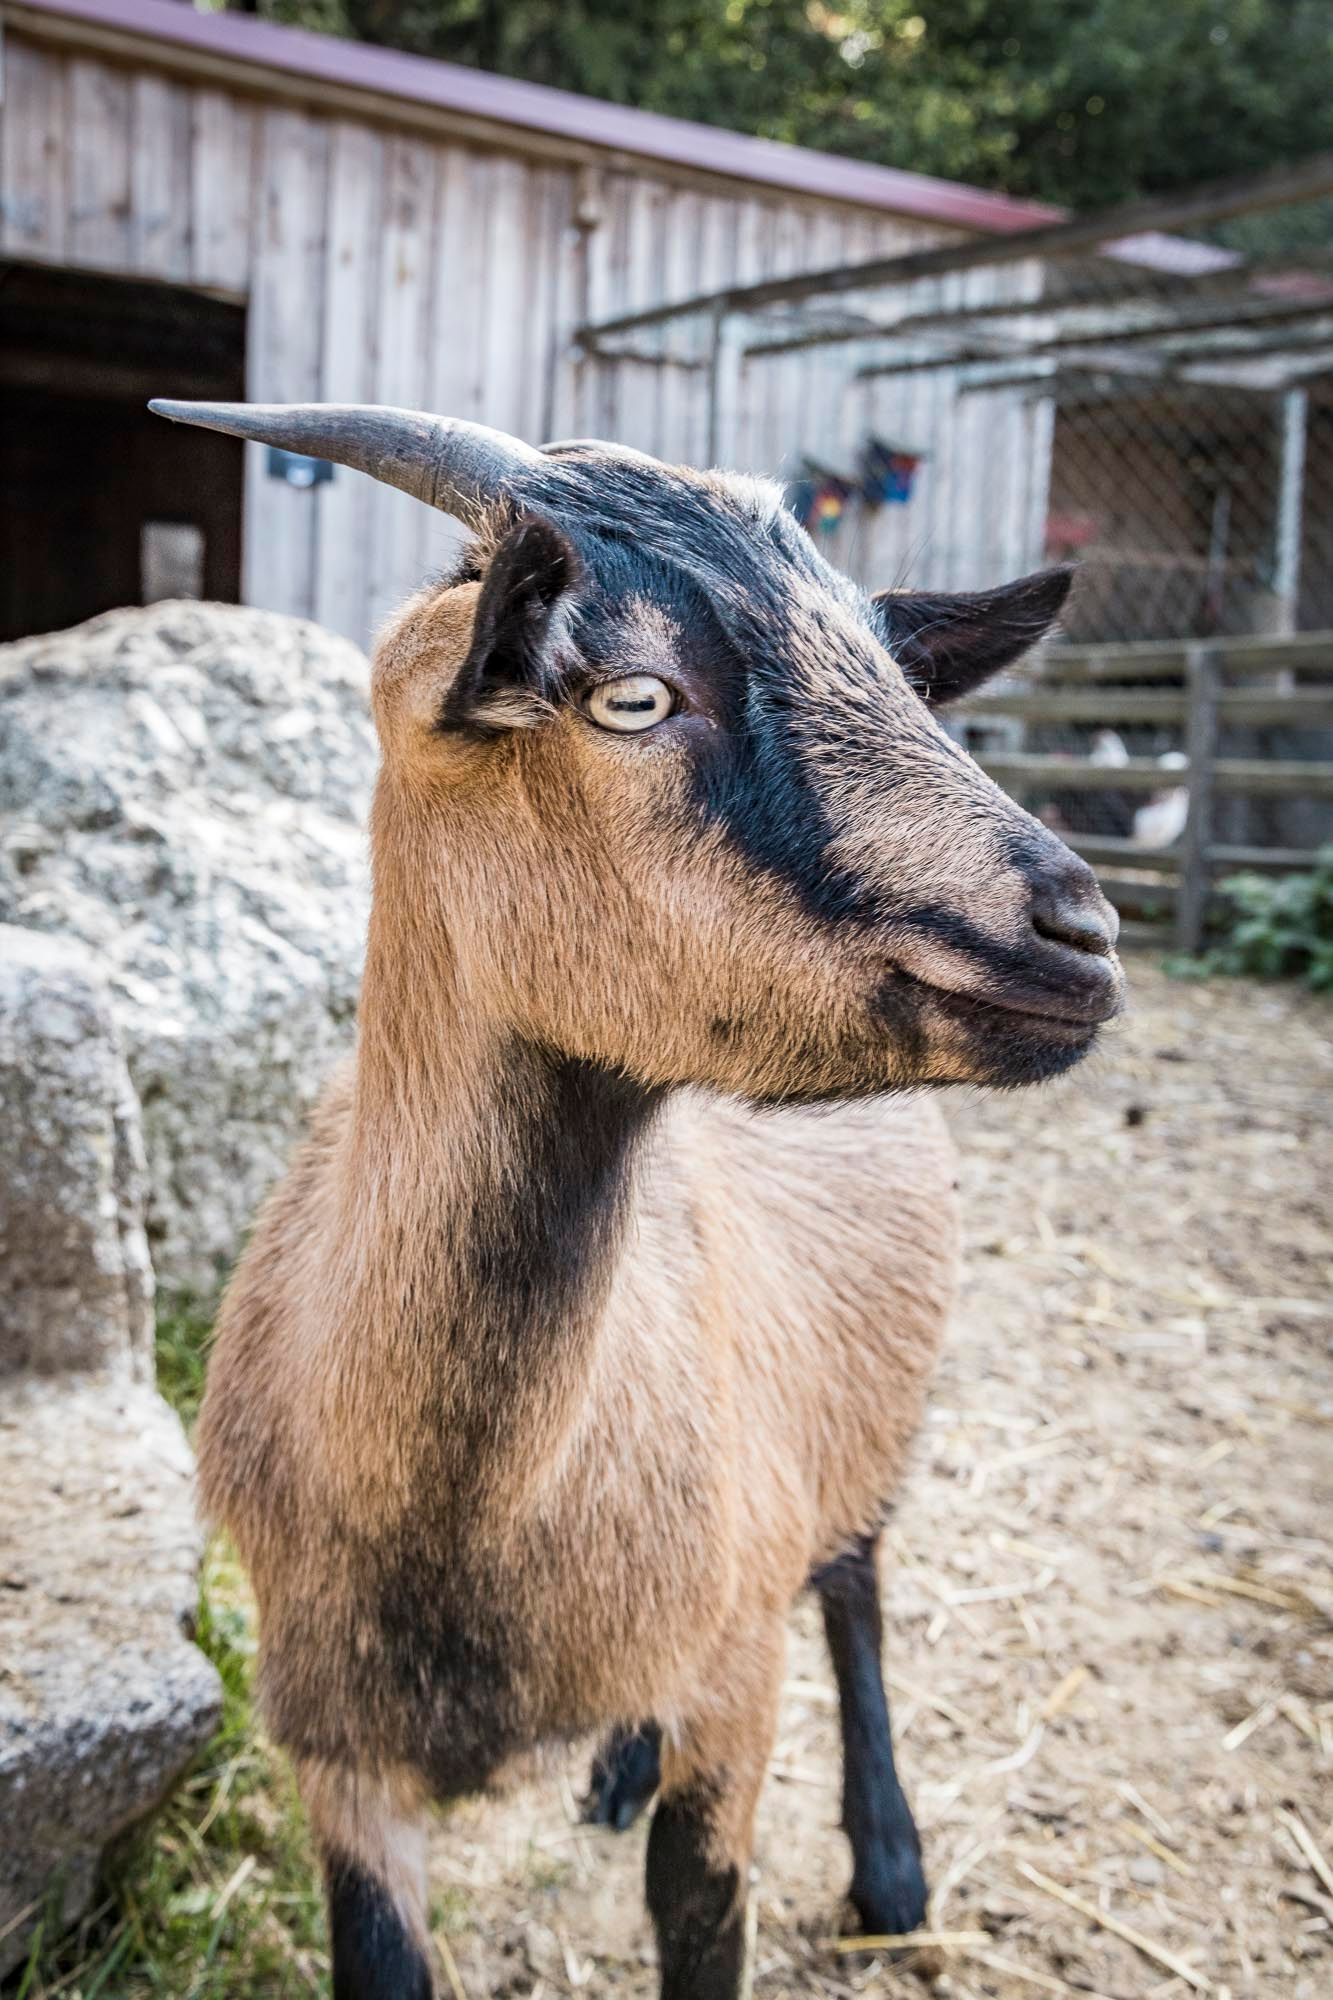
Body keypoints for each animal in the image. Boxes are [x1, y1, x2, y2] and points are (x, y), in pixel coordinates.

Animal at [151, 400, 1123, 2000]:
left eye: (892, 675)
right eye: (632, 697)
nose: (1081, 931)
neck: (463, 1525)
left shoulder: (735, 1672)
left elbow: (698, 1907)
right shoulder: (333, 1752)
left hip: (865, 1407)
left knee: (856, 1575)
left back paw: (890, 1864)